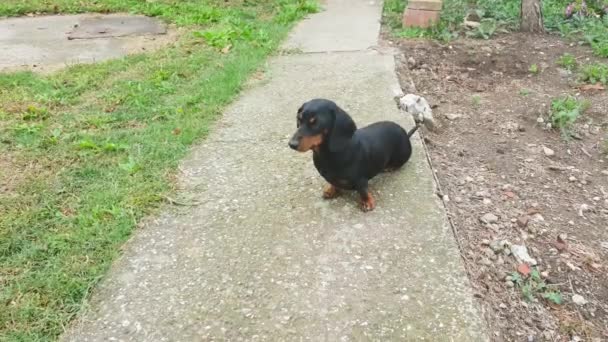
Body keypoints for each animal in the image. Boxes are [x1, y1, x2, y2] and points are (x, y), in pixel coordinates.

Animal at [288, 98, 416, 211]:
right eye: (299, 119)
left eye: (315, 123)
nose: (291, 144)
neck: (328, 155)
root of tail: (406, 134)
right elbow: (333, 183)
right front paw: (331, 190)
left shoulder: (360, 179)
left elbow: (363, 190)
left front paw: (367, 202)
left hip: (402, 156)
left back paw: (390, 167)